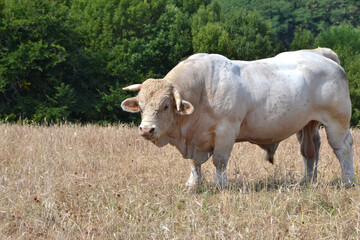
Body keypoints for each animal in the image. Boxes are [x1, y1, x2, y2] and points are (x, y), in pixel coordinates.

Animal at [121, 48, 354, 188]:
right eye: (140, 107)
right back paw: (307, 181)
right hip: (307, 124)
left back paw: (348, 181)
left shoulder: (226, 131)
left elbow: (220, 160)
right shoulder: (196, 139)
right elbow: (195, 163)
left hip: (337, 122)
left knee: (342, 148)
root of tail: (319, 53)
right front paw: (193, 183)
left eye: (166, 106)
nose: (146, 129)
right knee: (310, 150)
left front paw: (219, 185)